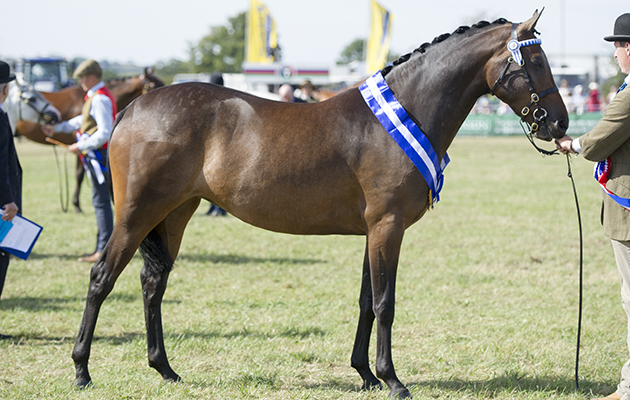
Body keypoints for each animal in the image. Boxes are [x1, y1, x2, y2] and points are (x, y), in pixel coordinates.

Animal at [71, 10, 572, 398]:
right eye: (534, 60)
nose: (560, 124)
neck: (403, 113)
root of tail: (133, 108)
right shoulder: (388, 226)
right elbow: (386, 302)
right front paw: (393, 380)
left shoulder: (374, 230)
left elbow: (367, 301)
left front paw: (365, 374)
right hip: (136, 215)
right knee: (101, 279)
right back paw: (81, 370)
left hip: (175, 214)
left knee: (152, 283)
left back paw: (165, 369)